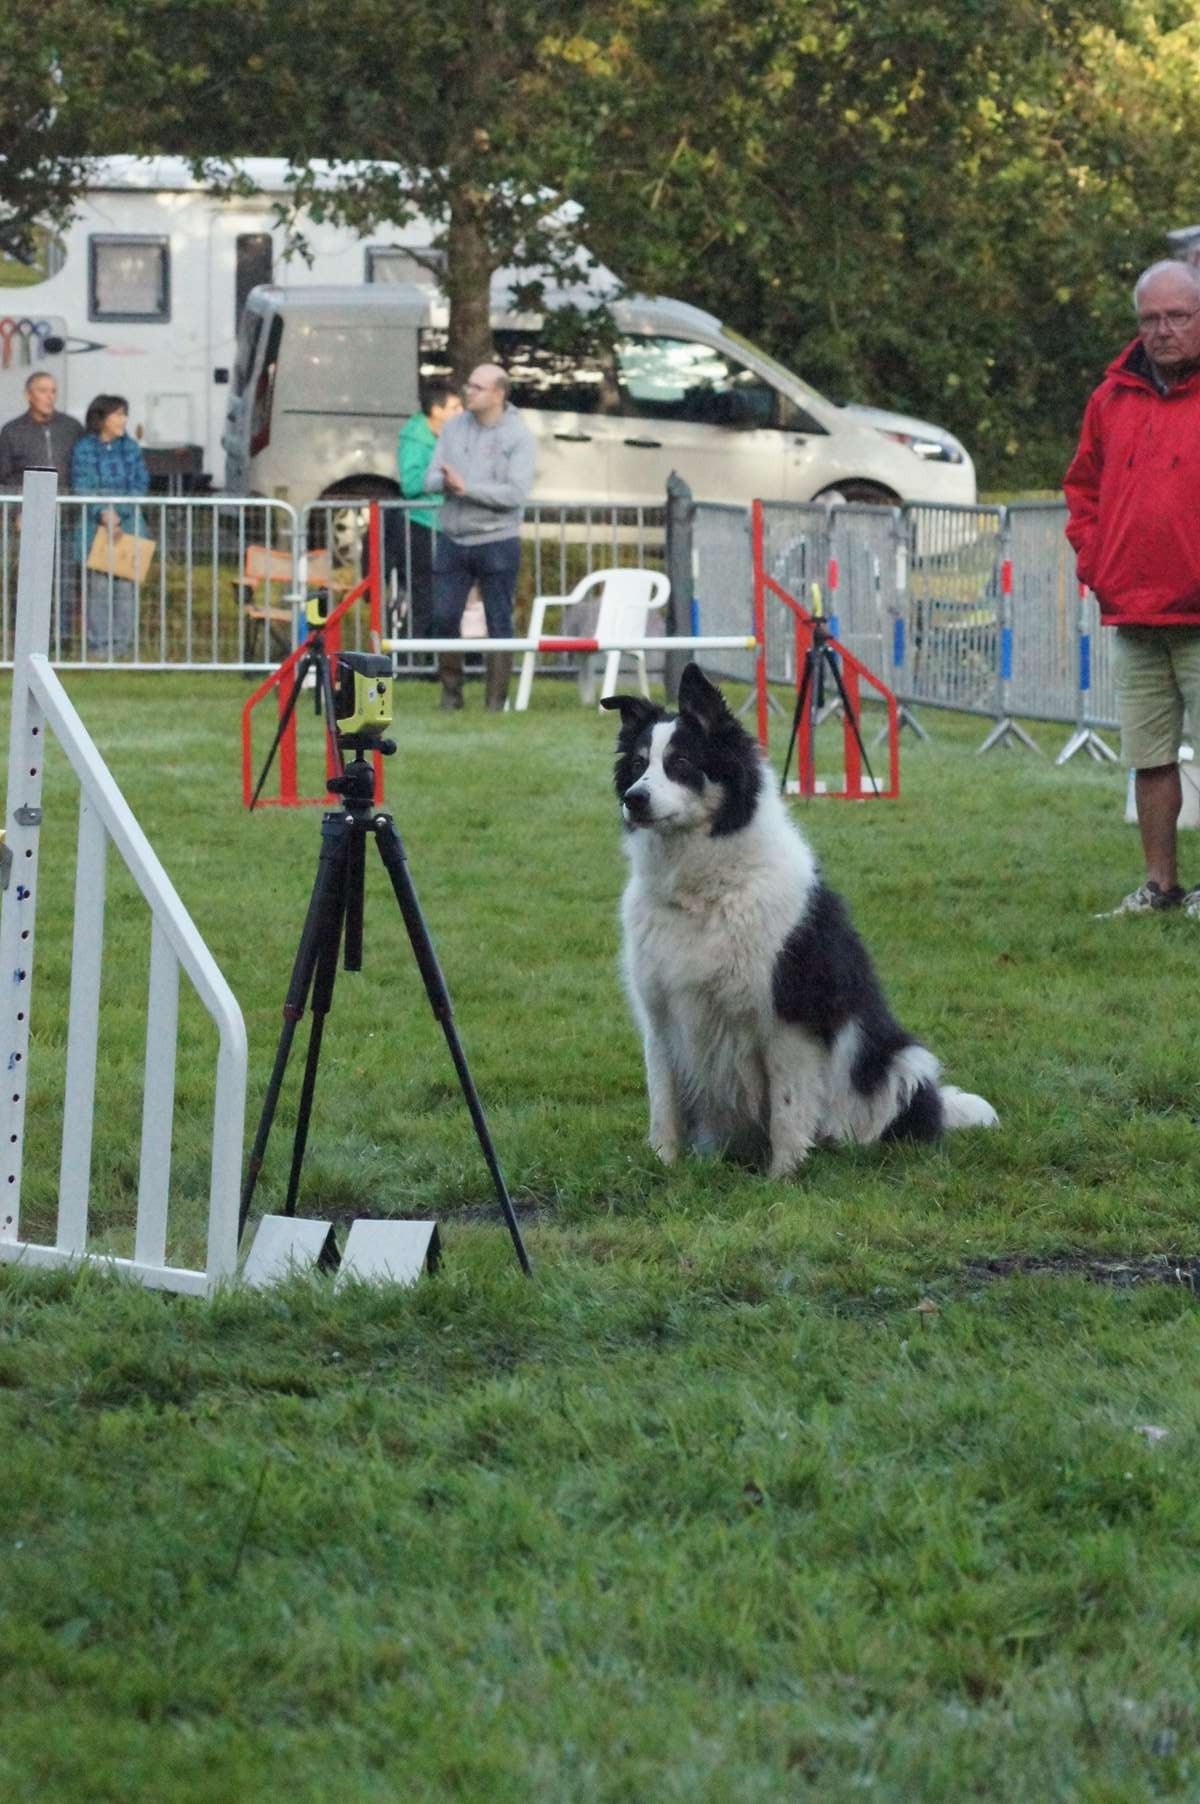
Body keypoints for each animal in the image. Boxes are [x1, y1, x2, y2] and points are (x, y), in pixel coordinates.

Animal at [602, 671, 996, 1176]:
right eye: (637, 765)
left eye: (682, 763)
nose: (634, 800)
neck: (705, 894)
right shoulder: (661, 1015)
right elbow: (663, 1102)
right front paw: (664, 1167)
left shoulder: (788, 1018)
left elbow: (788, 1109)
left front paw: (784, 1176)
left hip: (902, 1060)